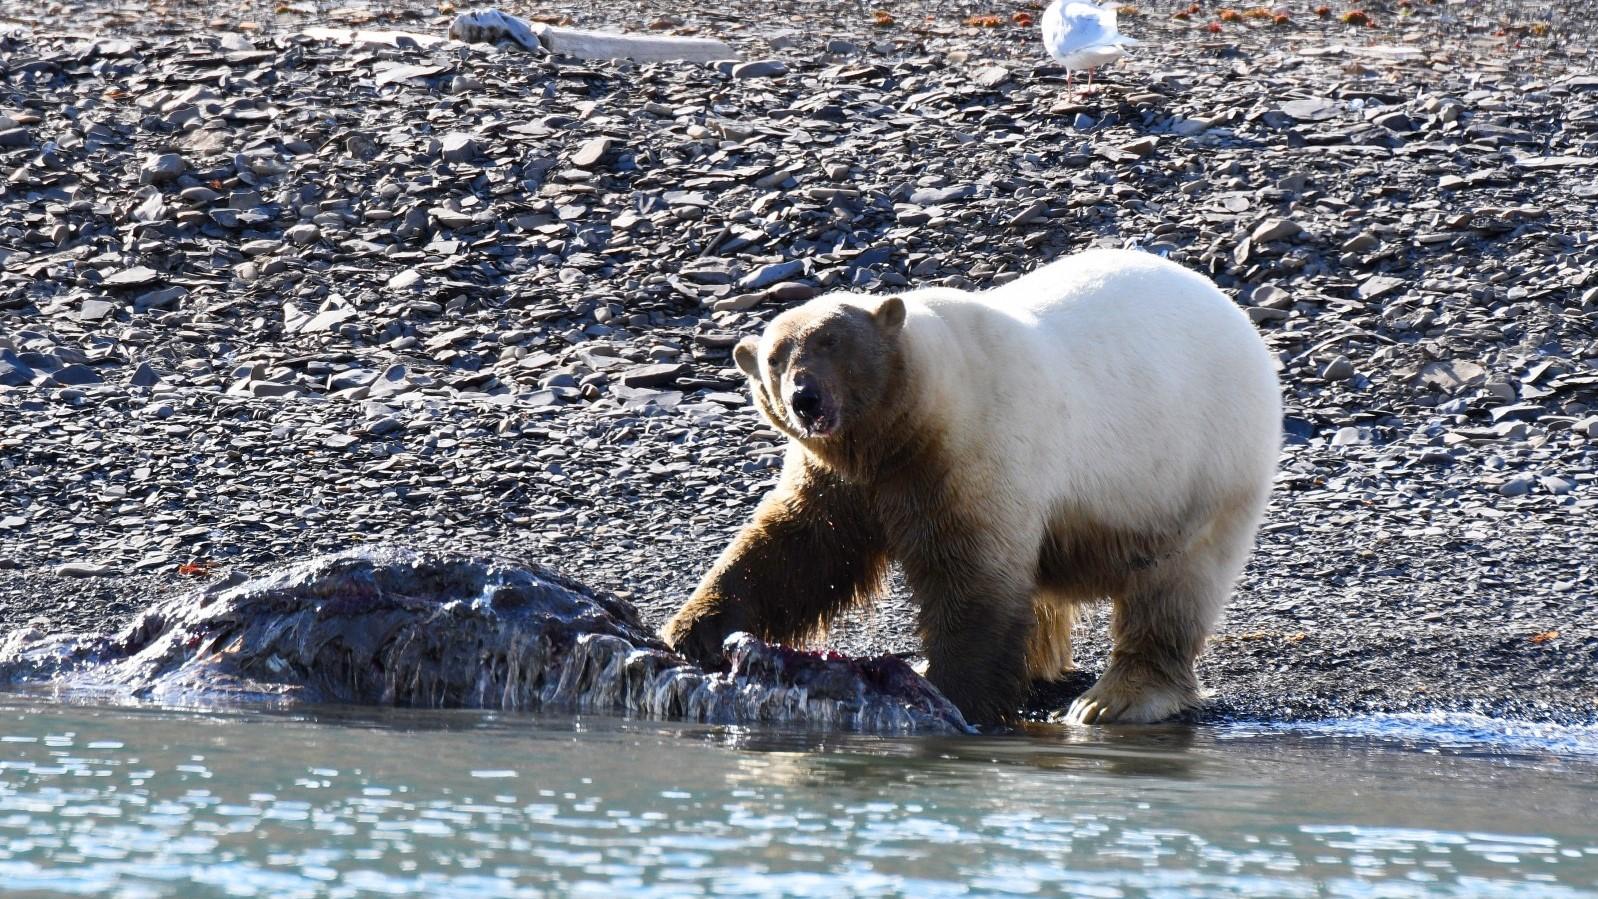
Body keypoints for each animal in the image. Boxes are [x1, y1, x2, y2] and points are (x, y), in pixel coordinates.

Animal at [661, 249, 1284, 728]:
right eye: (775, 357)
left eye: (834, 341)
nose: (805, 398)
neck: (913, 420)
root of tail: (1236, 316)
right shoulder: (843, 478)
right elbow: (797, 548)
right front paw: (691, 630)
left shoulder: (973, 450)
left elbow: (972, 574)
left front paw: (953, 692)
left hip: (1201, 463)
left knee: (1175, 585)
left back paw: (1113, 699)